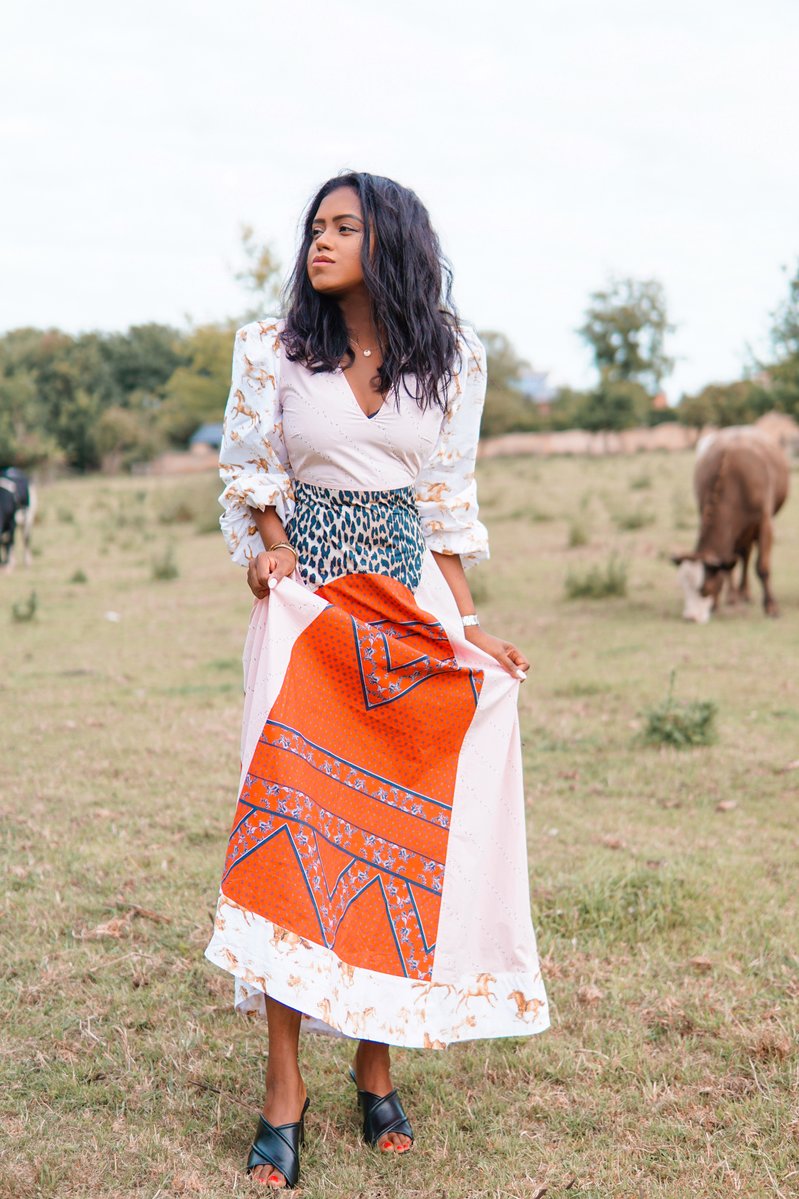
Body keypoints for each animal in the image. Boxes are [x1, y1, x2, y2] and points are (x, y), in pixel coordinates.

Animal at [667, 429, 787, 623]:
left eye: (705, 589)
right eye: (684, 587)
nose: (690, 618)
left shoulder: (765, 523)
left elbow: (762, 567)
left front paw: (771, 607)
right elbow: (728, 565)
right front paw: (723, 600)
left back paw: (745, 593)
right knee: (742, 556)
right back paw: (737, 594)